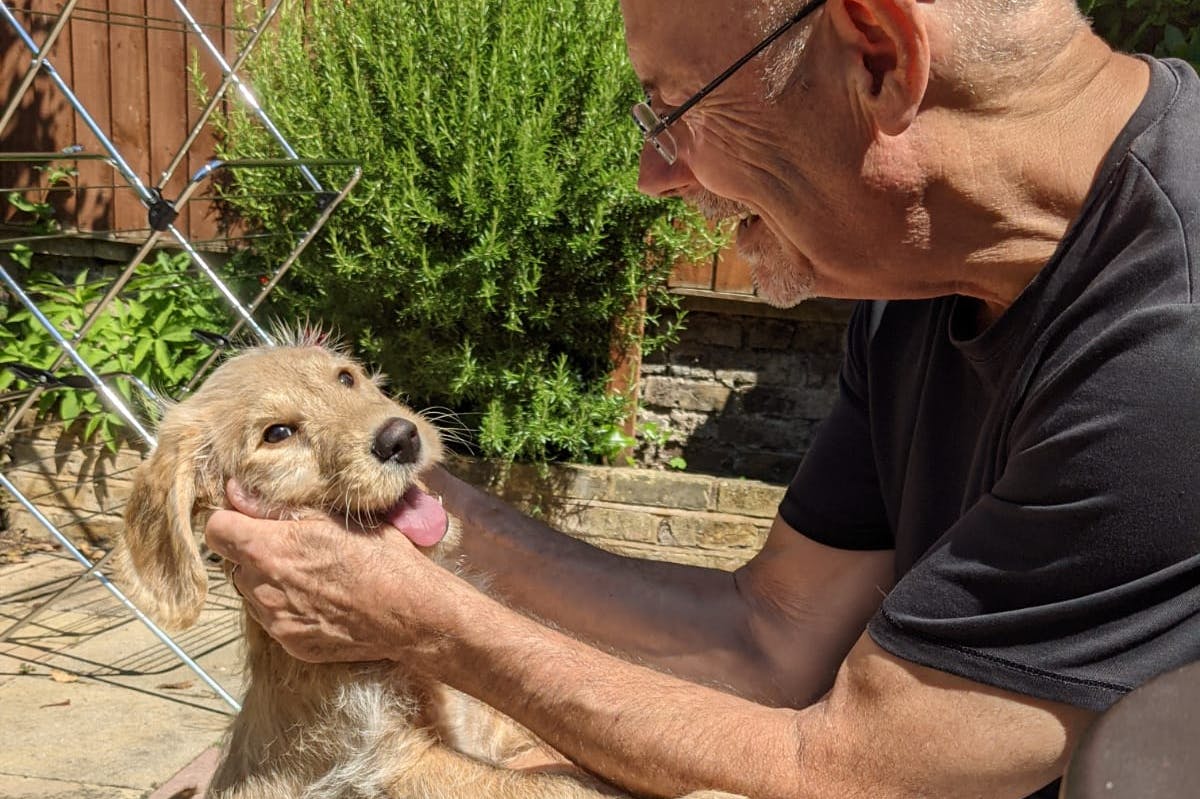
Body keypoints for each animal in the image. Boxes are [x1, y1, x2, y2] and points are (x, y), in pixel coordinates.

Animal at [121, 328, 739, 796]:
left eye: (346, 378)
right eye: (278, 433)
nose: (400, 437)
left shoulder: (491, 730)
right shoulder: (388, 760)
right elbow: (561, 788)